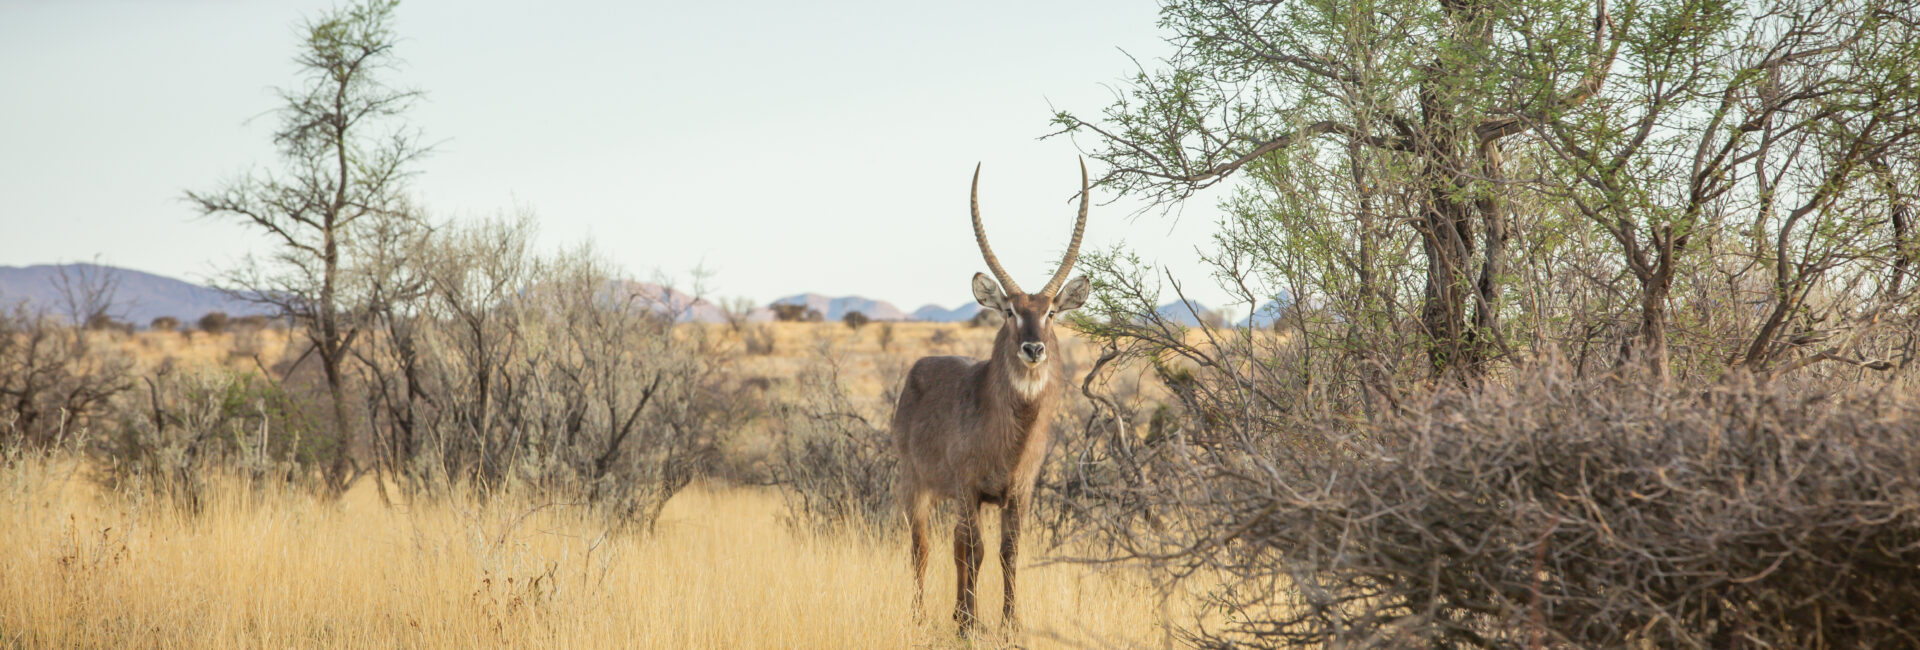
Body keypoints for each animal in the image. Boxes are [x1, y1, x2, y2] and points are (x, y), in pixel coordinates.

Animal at [890, 160, 1090, 632]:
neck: (1009, 434)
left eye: (1051, 312)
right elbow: (977, 550)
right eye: (1010, 311)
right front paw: (970, 623)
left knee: (955, 544)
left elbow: (1007, 553)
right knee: (922, 547)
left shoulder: (1018, 493)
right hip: (916, 485)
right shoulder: (969, 488)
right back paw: (923, 616)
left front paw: (1008, 623)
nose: (1033, 349)